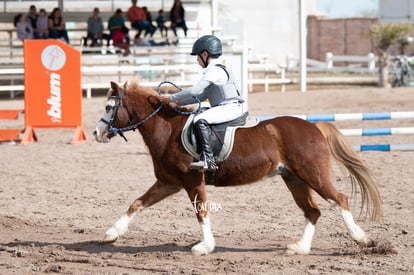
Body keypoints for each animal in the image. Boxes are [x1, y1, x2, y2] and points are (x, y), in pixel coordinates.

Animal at [93, 80, 382, 256]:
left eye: (108, 107)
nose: (96, 133)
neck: (167, 130)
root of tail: (314, 127)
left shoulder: (193, 182)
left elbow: (201, 212)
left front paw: (205, 246)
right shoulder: (170, 183)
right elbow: (137, 203)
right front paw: (111, 234)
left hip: (313, 175)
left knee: (340, 199)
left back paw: (363, 239)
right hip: (294, 179)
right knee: (313, 211)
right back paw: (300, 248)